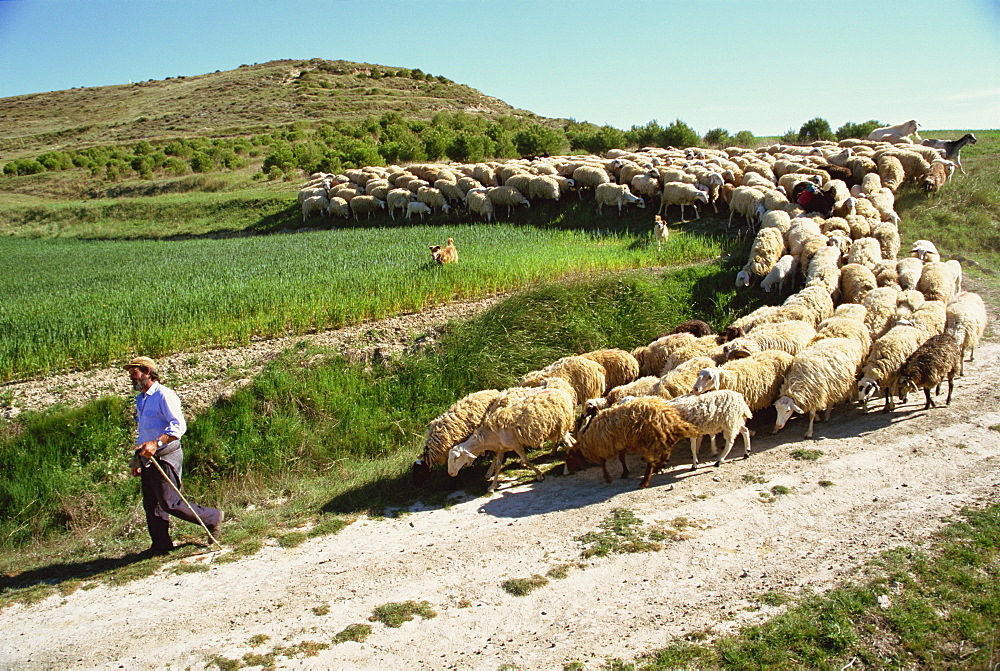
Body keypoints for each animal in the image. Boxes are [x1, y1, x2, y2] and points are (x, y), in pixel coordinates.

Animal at [568, 396, 700, 486]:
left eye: (572, 456)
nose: (570, 472)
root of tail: (668, 416)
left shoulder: (604, 446)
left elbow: (604, 463)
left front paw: (608, 478)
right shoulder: (620, 444)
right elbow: (621, 458)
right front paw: (624, 473)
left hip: (650, 438)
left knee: (654, 458)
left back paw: (646, 479)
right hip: (659, 437)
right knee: (665, 451)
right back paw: (660, 466)